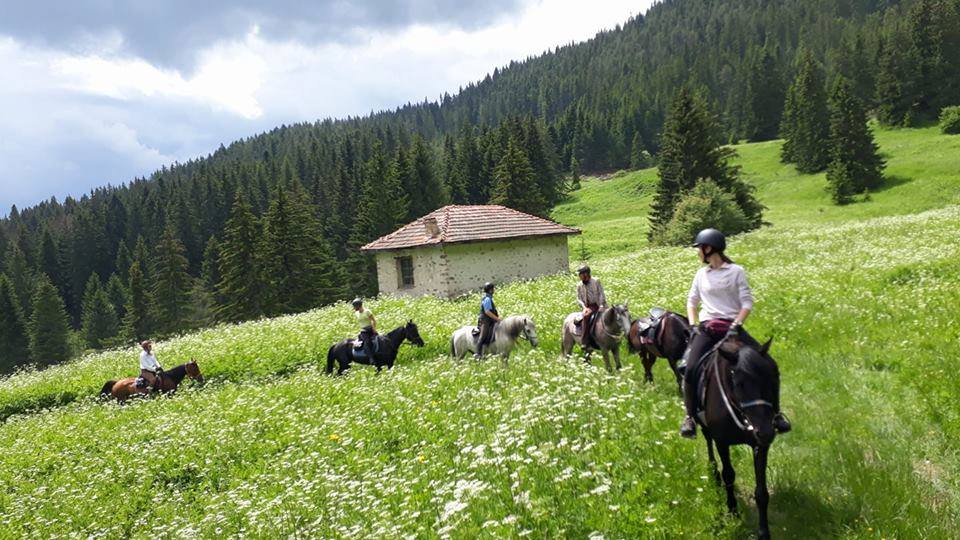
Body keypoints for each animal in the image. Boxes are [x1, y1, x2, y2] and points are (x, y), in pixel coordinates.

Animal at [696, 340, 780, 536]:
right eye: (739, 384)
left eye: (773, 377)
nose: (766, 432)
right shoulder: (722, 442)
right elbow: (728, 475)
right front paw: (732, 510)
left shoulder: (760, 445)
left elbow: (761, 492)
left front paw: (764, 532)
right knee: (707, 440)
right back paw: (713, 470)